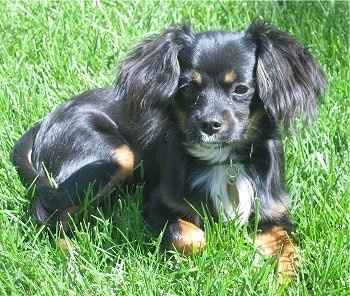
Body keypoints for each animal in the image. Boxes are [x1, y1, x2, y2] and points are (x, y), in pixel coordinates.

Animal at [11, 20, 328, 280]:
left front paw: (284, 279)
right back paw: (73, 254)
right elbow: (188, 235)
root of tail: (47, 122)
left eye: (240, 89)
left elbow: (289, 250)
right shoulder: (156, 205)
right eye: (188, 87)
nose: (209, 124)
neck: (224, 160)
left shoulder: (274, 214)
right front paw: (216, 265)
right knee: (45, 212)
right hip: (118, 157)